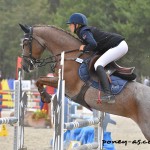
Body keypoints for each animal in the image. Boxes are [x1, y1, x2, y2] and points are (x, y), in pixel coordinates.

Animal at [19, 24, 150, 140]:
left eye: (25, 44)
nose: (25, 66)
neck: (71, 56)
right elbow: (40, 80)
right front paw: (45, 96)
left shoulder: (65, 83)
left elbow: (39, 80)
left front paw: (45, 97)